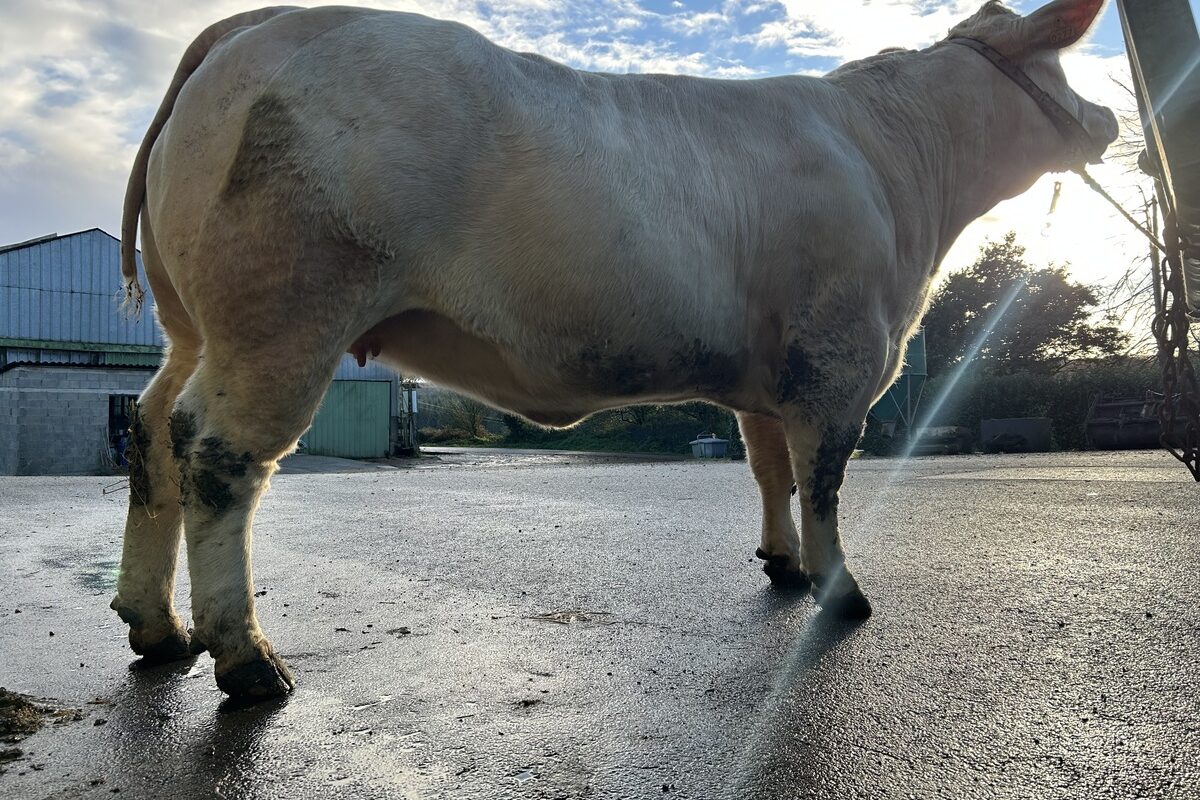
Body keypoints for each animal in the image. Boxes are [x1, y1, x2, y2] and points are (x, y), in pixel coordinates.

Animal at [111, 0, 1118, 700]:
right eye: (1061, 67)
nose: (1109, 121)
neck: (900, 161)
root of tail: (263, 22)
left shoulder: (771, 368)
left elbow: (770, 468)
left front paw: (782, 563)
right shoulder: (841, 354)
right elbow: (824, 475)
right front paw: (838, 589)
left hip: (193, 324)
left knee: (152, 428)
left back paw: (156, 627)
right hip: (283, 311)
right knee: (220, 453)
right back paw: (245, 660)